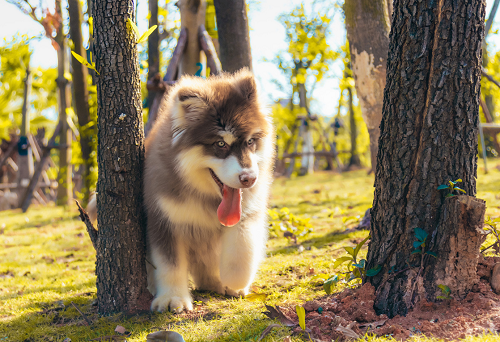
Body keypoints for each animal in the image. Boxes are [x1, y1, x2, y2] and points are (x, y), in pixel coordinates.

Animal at [143, 69, 276, 312]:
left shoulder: (249, 211)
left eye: (250, 141)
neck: (206, 197)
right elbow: (169, 264)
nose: (249, 179)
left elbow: (242, 246)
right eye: (221, 144)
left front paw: (234, 280)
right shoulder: (163, 219)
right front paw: (172, 298)